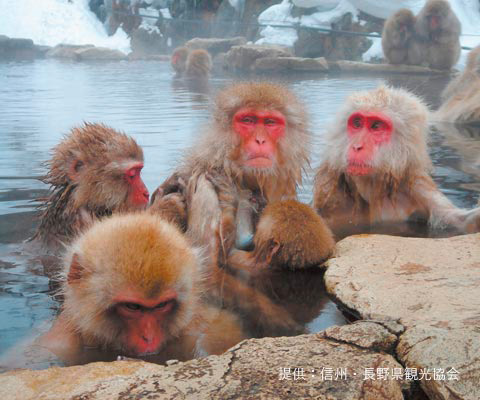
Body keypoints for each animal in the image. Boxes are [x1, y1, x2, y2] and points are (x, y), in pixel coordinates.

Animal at [314, 85, 478, 239]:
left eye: (376, 126)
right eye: (357, 123)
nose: (356, 146)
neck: (371, 189)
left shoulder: (418, 187)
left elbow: (455, 221)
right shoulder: (330, 193)